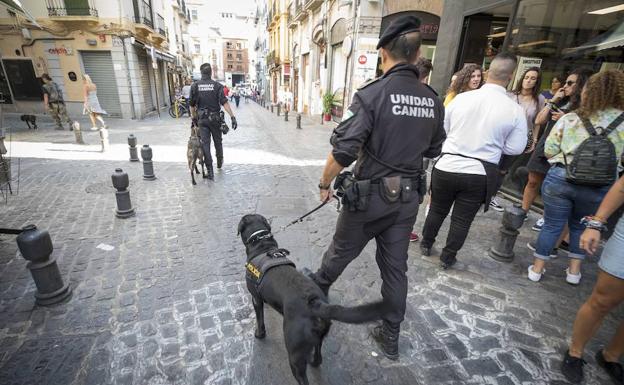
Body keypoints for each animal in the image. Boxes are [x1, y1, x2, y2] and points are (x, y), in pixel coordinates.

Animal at [238, 213, 386, 384]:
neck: (261, 244)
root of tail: (315, 302)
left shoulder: (255, 298)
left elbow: (260, 319)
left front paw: (259, 334)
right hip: (318, 338)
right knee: (318, 357)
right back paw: (313, 361)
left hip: (294, 352)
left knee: (302, 377)